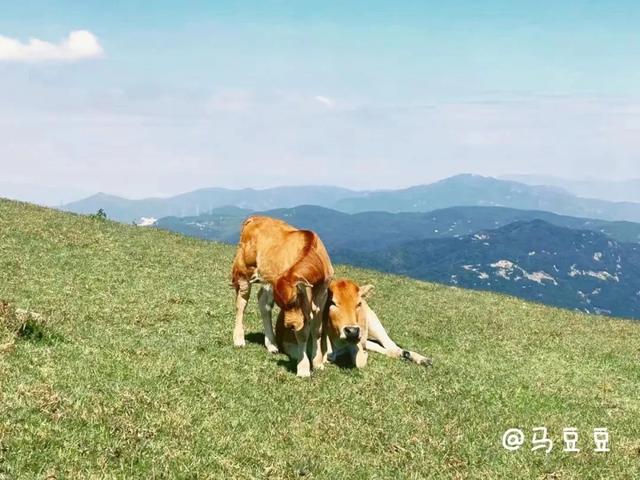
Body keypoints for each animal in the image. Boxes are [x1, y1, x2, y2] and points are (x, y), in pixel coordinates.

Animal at [230, 216, 332, 376]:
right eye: (282, 306)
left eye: (294, 300)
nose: (290, 325)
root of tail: (255, 218)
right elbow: (302, 334)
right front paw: (303, 368)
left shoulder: (322, 295)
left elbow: (317, 330)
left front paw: (318, 363)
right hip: (244, 272)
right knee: (241, 303)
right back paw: (239, 340)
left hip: (268, 281)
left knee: (263, 303)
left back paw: (272, 345)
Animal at [274, 278, 430, 368]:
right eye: (332, 302)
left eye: (358, 303)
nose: (352, 331)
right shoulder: (289, 343)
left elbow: (359, 360)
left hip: (373, 322)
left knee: (391, 346)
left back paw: (418, 358)